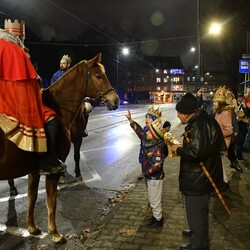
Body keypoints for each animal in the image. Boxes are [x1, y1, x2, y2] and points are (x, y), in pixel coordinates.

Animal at [0, 52, 119, 242]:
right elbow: (51, 201)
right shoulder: (52, 169)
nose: (115, 101)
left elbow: (32, 196)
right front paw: (55, 233)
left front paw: (32, 227)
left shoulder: (34, 169)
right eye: (99, 76)